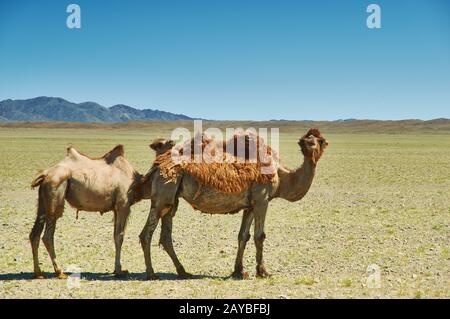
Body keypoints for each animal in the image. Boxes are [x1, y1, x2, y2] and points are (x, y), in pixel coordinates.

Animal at [29, 139, 174, 278]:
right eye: (160, 144)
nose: (172, 142)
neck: (138, 184)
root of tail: (46, 174)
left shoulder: (116, 209)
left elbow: (115, 235)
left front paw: (118, 269)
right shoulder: (123, 205)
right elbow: (120, 236)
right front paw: (119, 271)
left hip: (42, 201)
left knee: (34, 234)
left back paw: (38, 273)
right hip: (56, 191)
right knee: (48, 235)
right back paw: (59, 272)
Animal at [140, 127, 326, 280]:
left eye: (320, 140)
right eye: (307, 140)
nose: (309, 144)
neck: (281, 176)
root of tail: (158, 164)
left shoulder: (250, 205)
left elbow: (243, 236)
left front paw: (239, 271)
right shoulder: (262, 199)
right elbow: (259, 236)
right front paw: (263, 272)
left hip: (171, 199)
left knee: (165, 236)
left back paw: (183, 271)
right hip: (163, 196)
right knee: (146, 234)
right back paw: (152, 273)